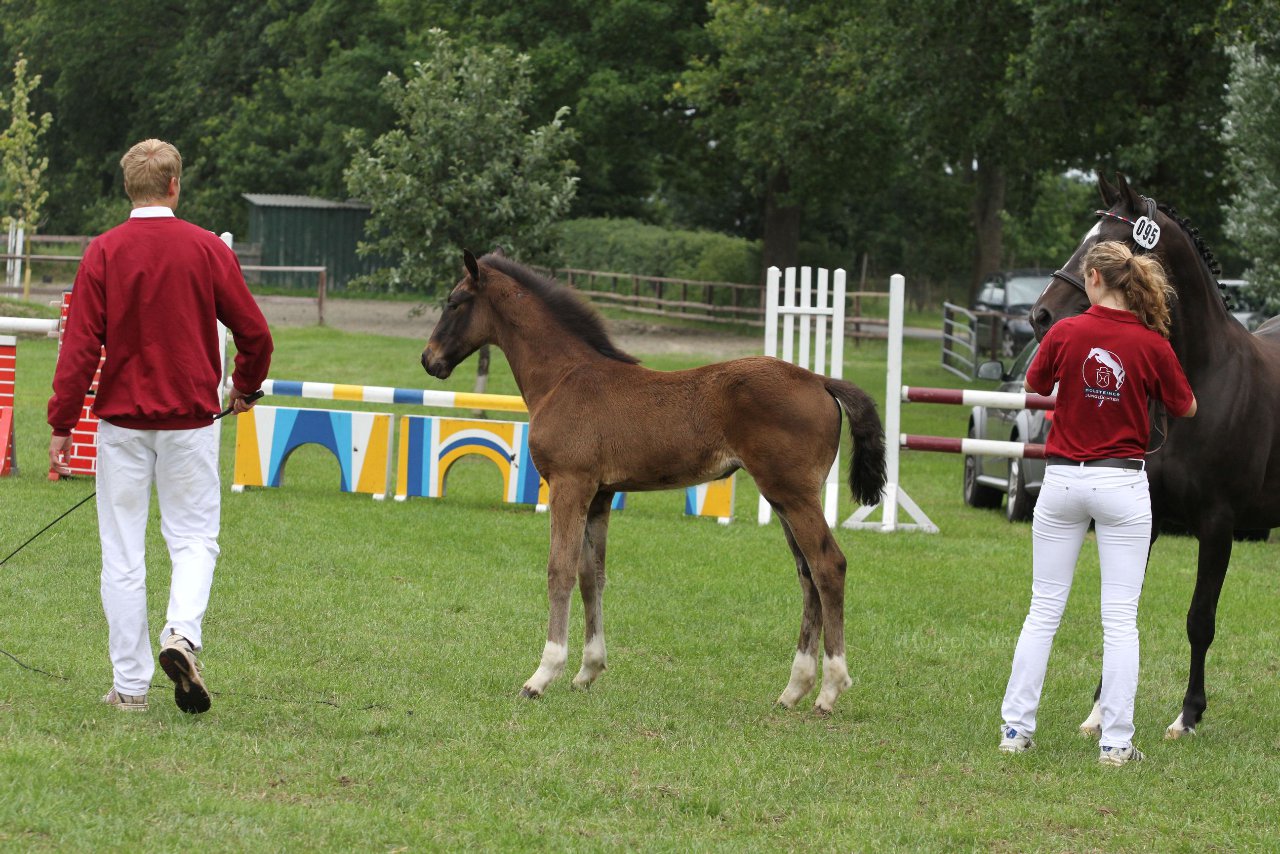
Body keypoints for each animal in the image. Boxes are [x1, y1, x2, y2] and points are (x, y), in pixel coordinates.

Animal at [424, 250, 885, 711]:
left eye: (454, 301)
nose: (429, 360)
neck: (564, 377)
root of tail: (821, 381)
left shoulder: (569, 484)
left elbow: (560, 570)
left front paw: (542, 675)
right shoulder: (600, 494)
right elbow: (592, 576)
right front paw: (588, 671)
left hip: (791, 493)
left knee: (828, 566)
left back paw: (829, 690)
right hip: (784, 497)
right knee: (807, 575)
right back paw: (793, 690)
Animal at [1029, 175, 1280, 742]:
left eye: (1110, 245)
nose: (1040, 316)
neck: (1203, 376)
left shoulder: (1218, 525)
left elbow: (1200, 620)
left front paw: (1188, 715)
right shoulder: (1146, 516)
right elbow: (1123, 606)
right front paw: (1100, 712)